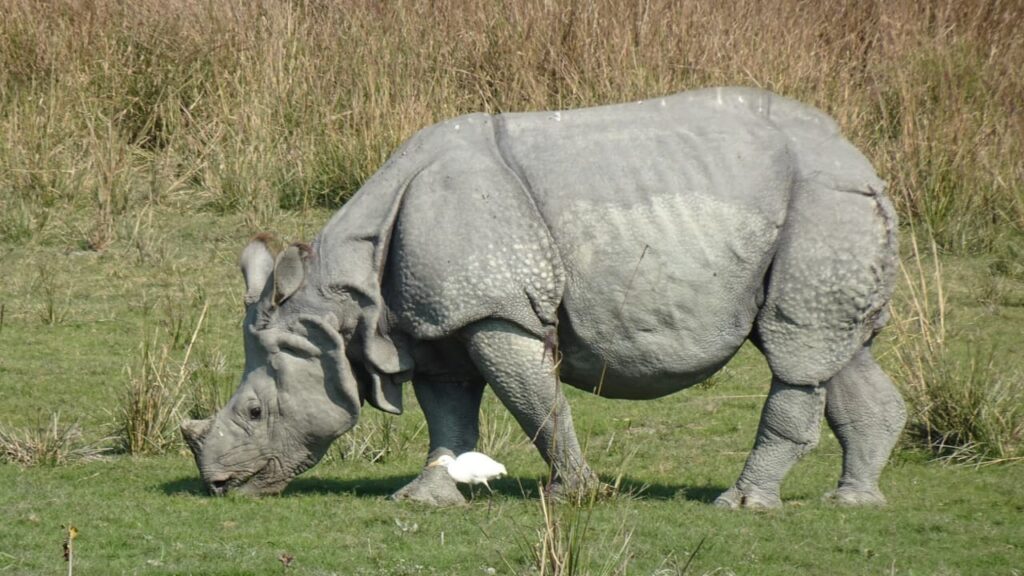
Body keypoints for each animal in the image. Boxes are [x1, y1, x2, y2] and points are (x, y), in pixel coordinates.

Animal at [182, 87, 905, 504]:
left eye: (253, 411)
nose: (219, 486)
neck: (342, 306)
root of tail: (861, 157)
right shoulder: (434, 320)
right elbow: (449, 413)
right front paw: (424, 497)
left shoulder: (493, 311)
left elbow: (537, 403)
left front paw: (572, 497)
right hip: (827, 210)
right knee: (835, 352)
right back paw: (853, 502)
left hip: (822, 200)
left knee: (795, 351)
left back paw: (742, 504)